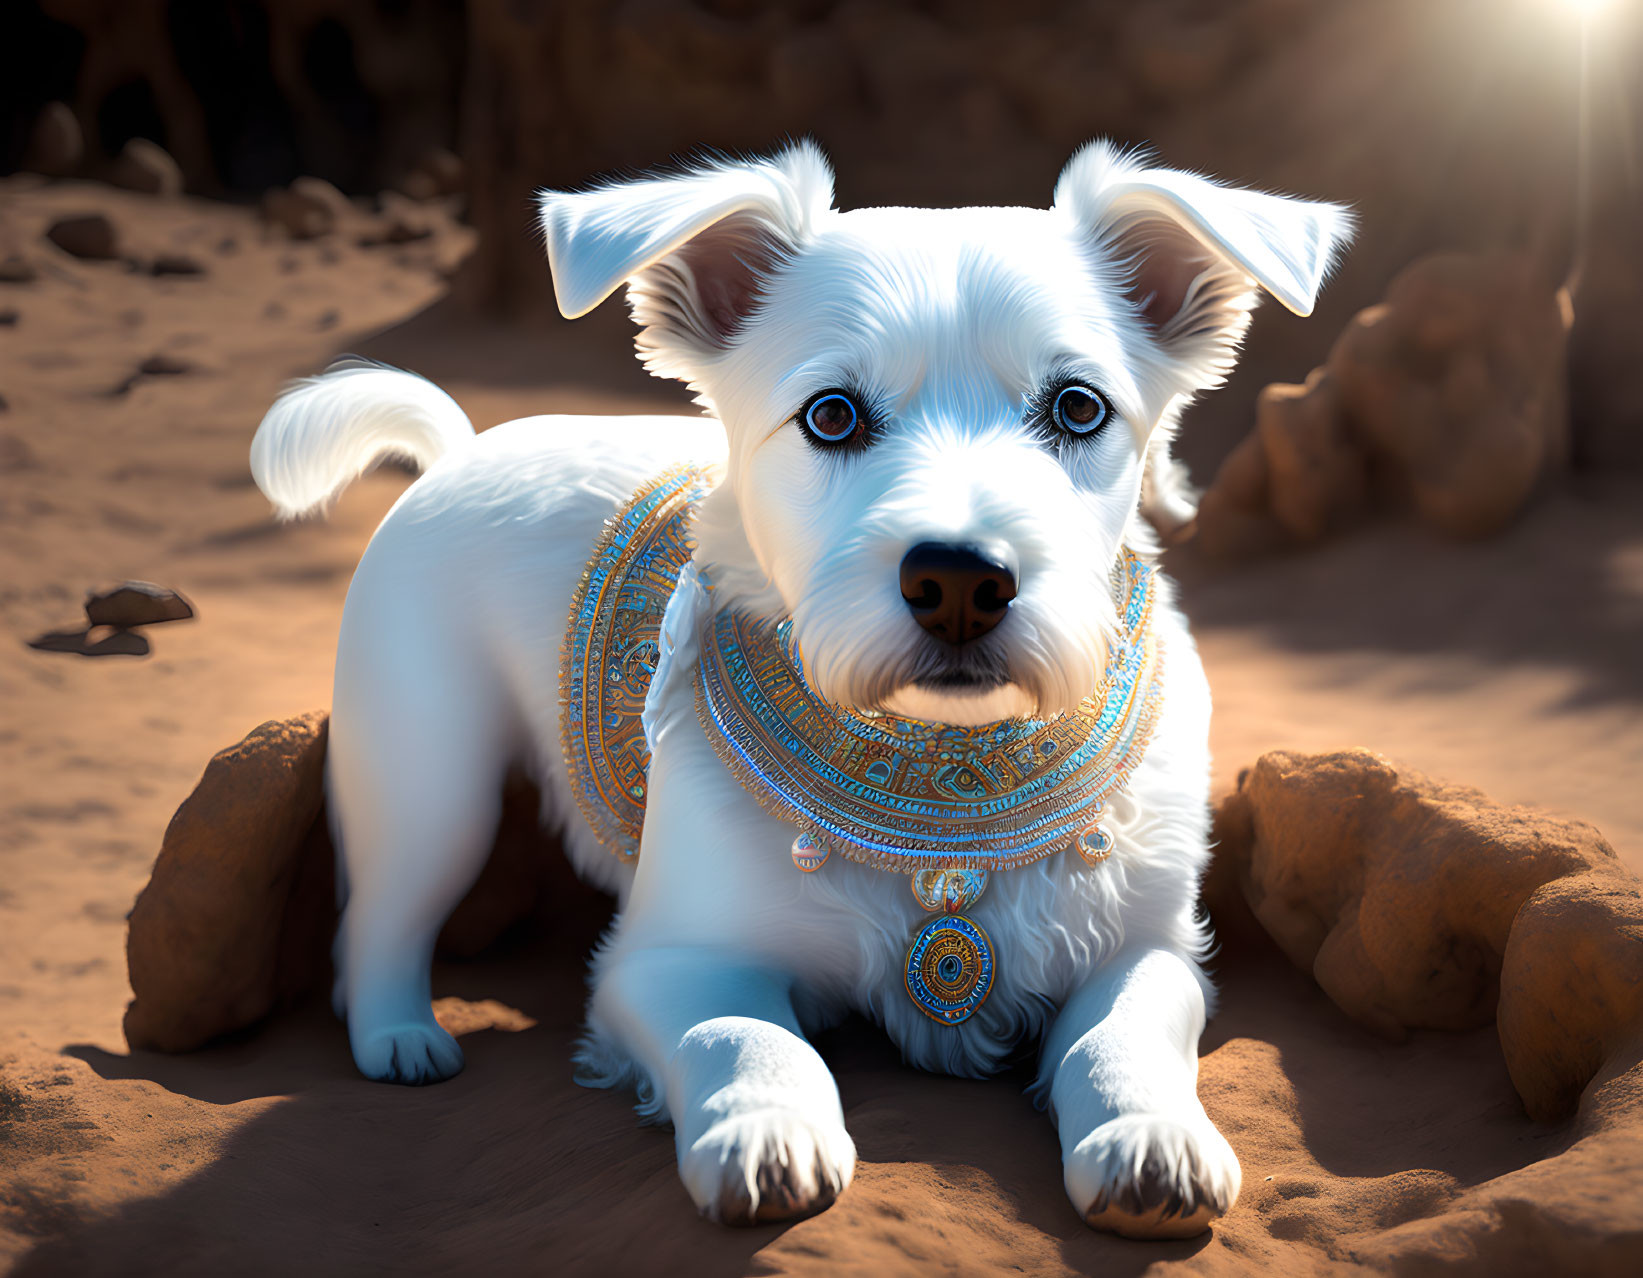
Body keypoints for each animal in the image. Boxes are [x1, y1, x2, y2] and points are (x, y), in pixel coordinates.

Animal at [246, 139, 1347, 1235]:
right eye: (832, 415)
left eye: (1079, 408)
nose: (958, 581)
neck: (943, 787)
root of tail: (461, 450)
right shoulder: (668, 960)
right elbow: (745, 1035)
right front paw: (765, 1133)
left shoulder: (1148, 950)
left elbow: (1118, 1037)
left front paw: (1147, 1136)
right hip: (435, 791)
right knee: (378, 921)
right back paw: (398, 1037)